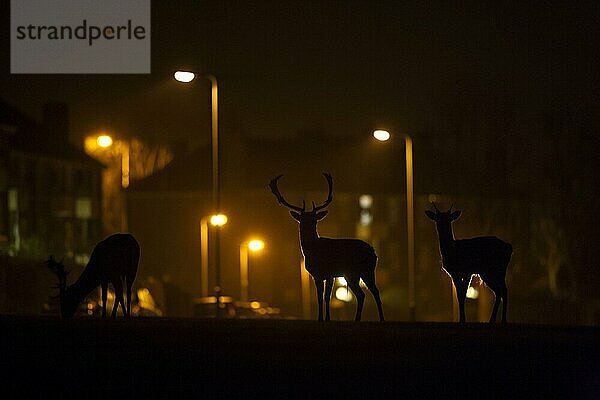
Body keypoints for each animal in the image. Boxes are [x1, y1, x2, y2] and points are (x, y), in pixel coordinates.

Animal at [268, 173, 384, 322]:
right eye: (302, 219)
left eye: (314, 220)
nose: (308, 226)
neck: (313, 250)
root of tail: (374, 253)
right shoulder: (321, 275)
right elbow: (322, 297)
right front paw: (323, 318)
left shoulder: (325, 273)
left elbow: (324, 297)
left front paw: (324, 318)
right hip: (355, 274)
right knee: (363, 294)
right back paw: (359, 319)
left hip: (364, 271)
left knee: (372, 292)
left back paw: (380, 319)